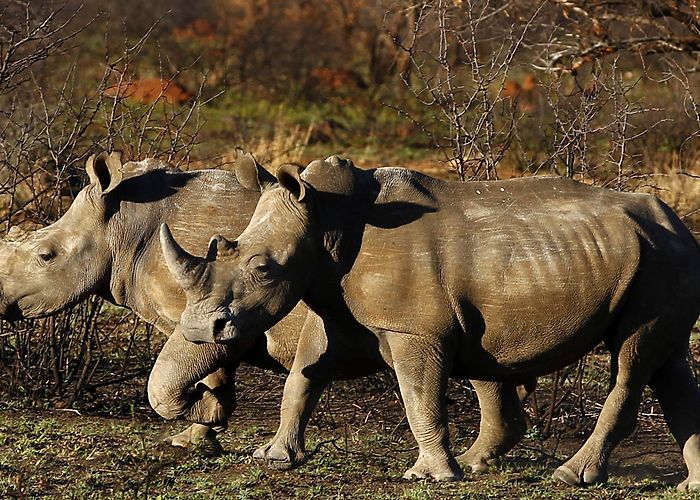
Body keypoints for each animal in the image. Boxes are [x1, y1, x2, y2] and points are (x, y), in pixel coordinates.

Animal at [0, 151, 528, 470]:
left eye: (45, 255)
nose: (2, 305)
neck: (122, 225)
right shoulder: (215, 311)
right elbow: (206, 372)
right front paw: (197, 434)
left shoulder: (207, 310)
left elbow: (168, 381)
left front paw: (203, 420)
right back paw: (483, 460)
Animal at [163, 155, 700, 488]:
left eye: (263, 268)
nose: (201, 330)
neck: (324, 219)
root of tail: (680, 224)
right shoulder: (339, 311)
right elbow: (304, 377)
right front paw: (275, 458)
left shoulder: (414, 330)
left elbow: (418, 395)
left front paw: (429, 476)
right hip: (660, 257)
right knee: (668, 364)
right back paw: (690, 484)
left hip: (659, 264)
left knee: (632, 358)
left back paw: (568, 476)